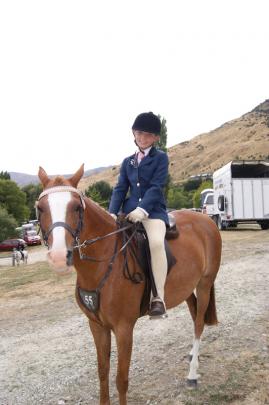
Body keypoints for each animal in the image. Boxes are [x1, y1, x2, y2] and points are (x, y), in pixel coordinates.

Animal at [38, 165, 222, 404]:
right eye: (40, 208)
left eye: (77, 207)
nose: (59, 257)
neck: (104, 262)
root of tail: (205, 219)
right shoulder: (96, 325)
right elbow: (102, 372)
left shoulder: (124, 328)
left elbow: (121, 379)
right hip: (187, 287)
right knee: (193, 315)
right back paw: (192, 355)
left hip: (204, 284)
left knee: (199, 323)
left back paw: (192, 374)